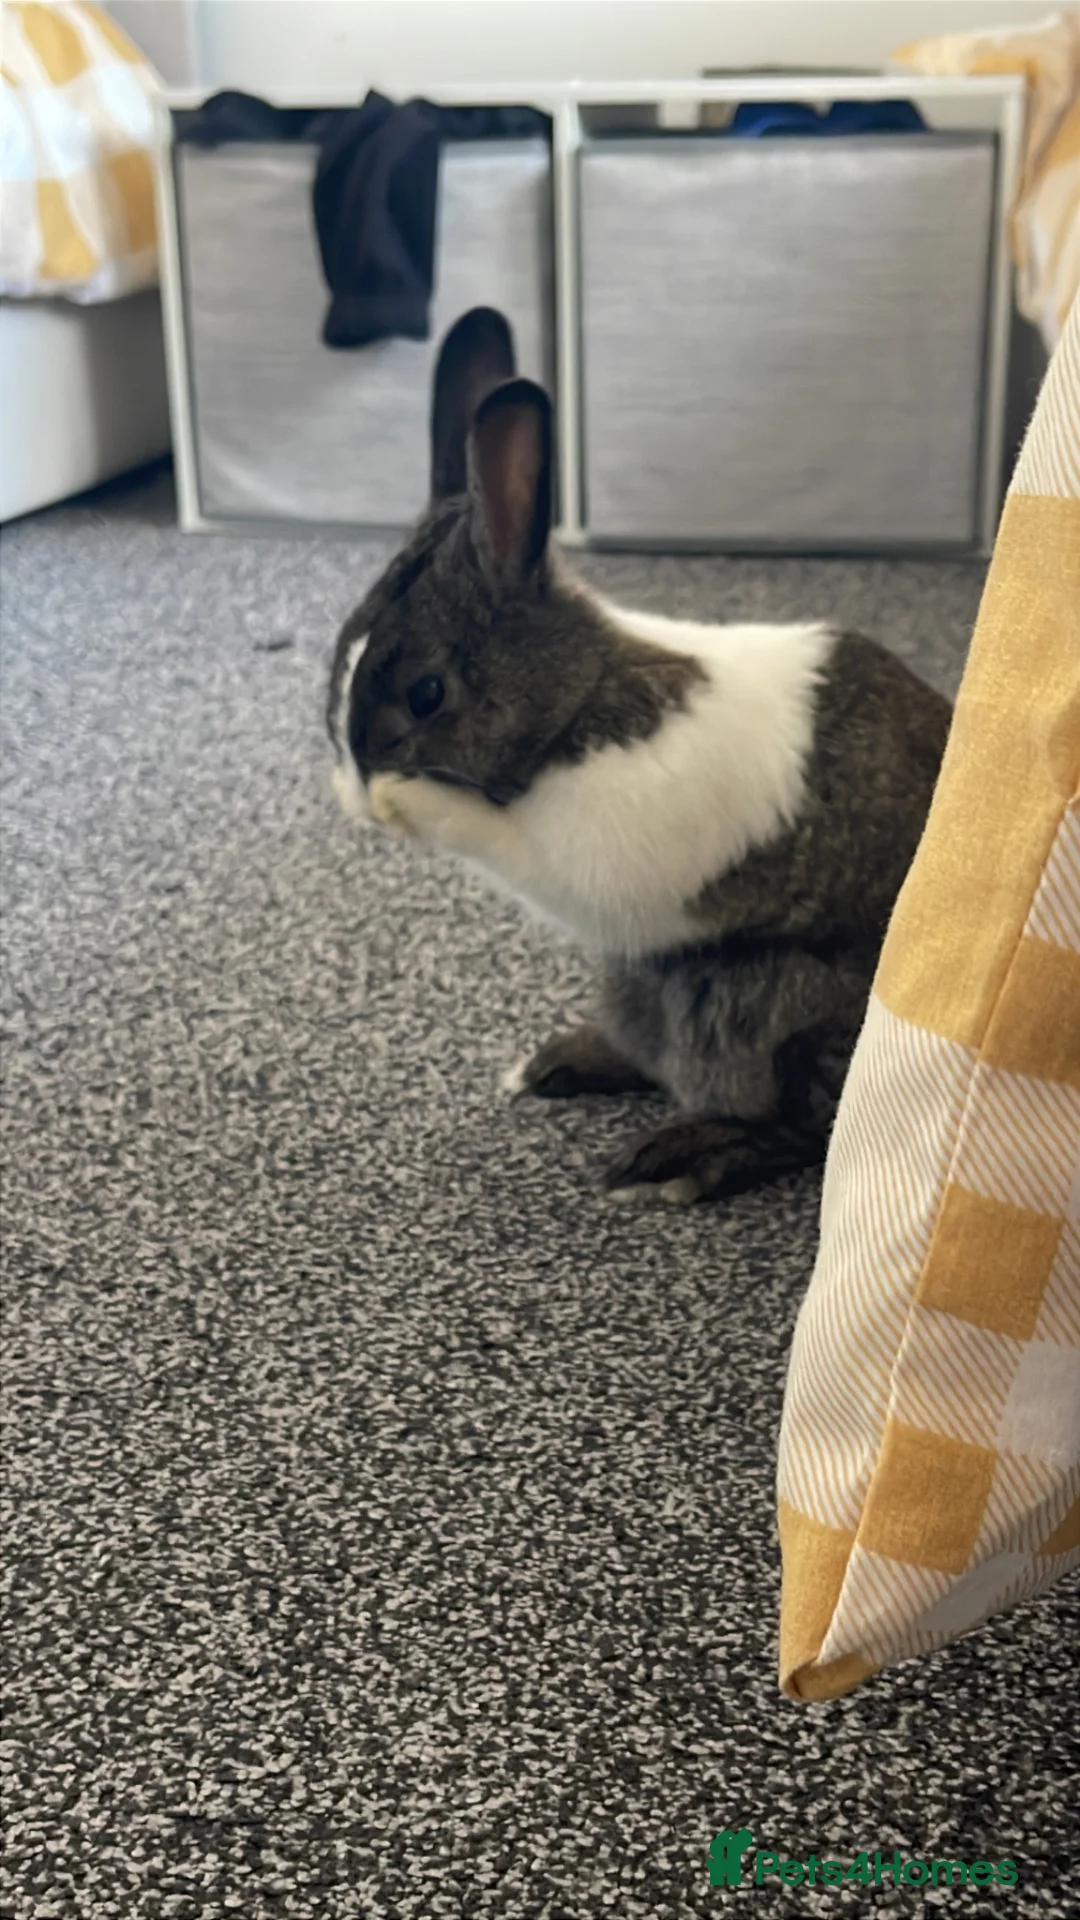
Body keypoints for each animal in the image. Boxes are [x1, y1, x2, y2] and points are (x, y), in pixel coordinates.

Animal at [328, 306, 951, 1204]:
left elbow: (496, 833)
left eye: (427, 693)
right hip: (640, 983)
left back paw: (693, 1156)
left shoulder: (585, 853)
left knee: (803, 1124)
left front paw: (402, 800)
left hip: (764, 1010)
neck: (583, 698)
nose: (350, 784)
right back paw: (559, 1063)